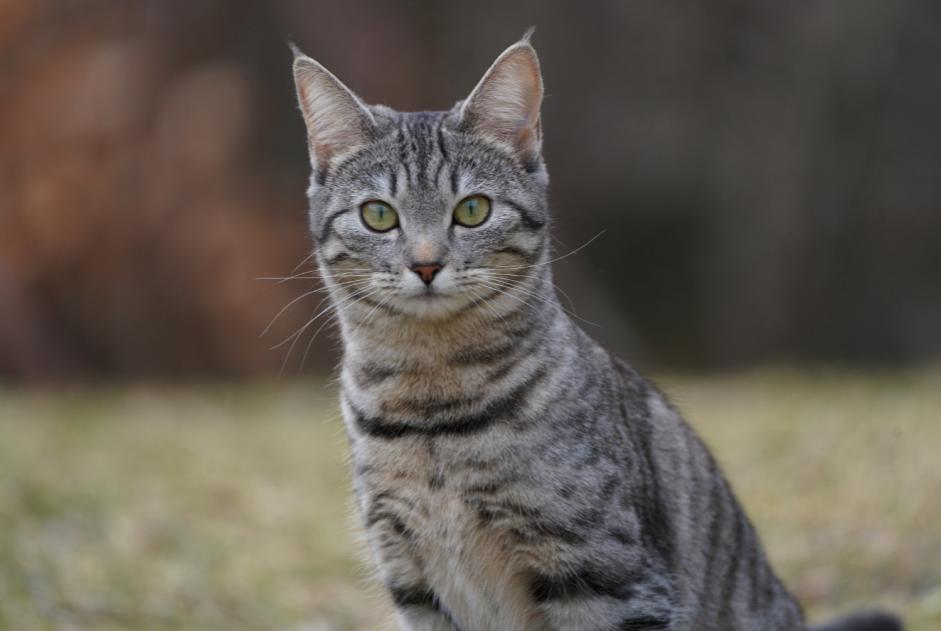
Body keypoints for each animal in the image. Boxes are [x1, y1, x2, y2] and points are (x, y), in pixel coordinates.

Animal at [288, 33, 904, 631]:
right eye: (378, 216)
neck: (433, 409)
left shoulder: (607, 577)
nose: (425, 264)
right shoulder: (413, 582)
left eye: (472, 210)